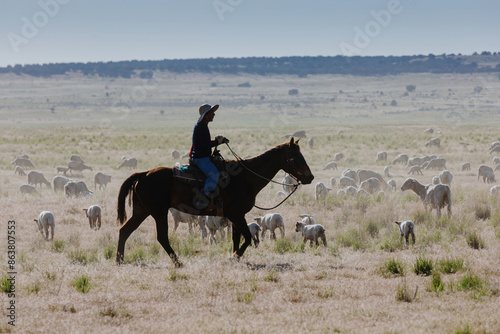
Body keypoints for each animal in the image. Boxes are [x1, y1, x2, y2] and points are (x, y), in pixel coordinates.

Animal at [115, 137, 314, 268]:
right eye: (295, 157)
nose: (310, 177)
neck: (245, 177)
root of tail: (143, 174)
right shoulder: (237, 214)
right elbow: (247, 237)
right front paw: (234, 257)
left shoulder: (235, 216)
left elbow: (236, 238)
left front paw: (234, 256)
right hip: (158, 213)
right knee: (161, 237)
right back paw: (178, 262)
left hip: (142, 211)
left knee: (125, 231)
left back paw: (119, 260)